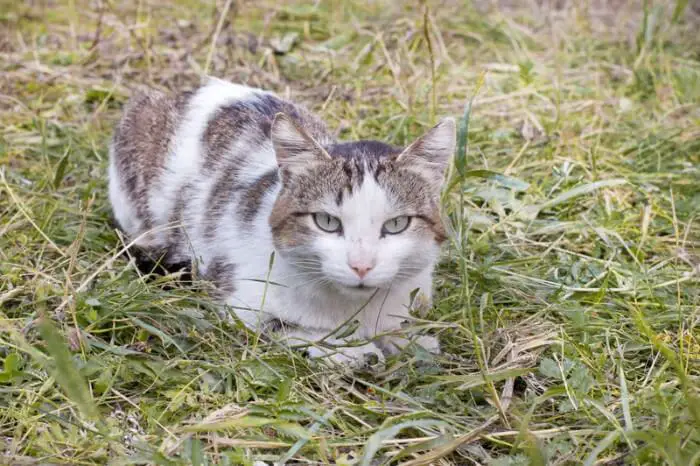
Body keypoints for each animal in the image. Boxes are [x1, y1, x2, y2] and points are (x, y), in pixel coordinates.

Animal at [110, 77, 454, 368]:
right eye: (326, 221)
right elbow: (288, 327)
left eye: (396, 224)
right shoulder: (239, 302)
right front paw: (349, 351)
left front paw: (409, 341)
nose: (361, 266)